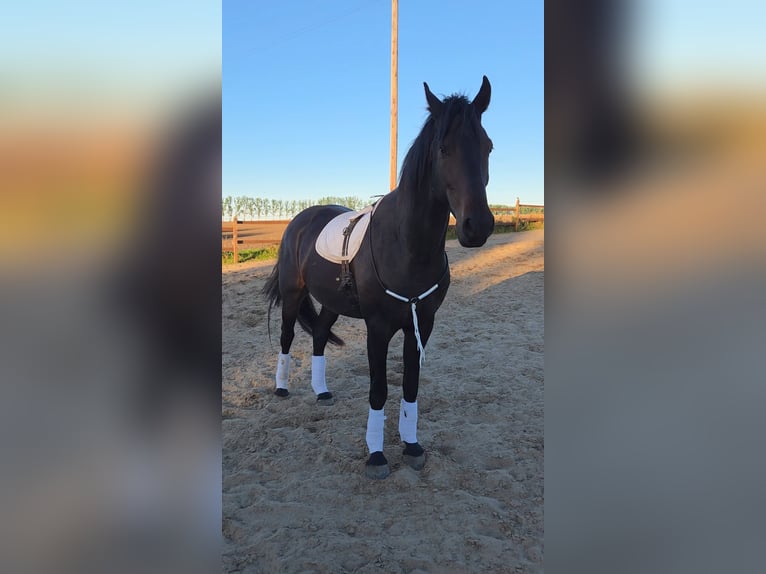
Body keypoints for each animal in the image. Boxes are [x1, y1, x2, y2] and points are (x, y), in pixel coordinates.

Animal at [263, 76, 495, 479]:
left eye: (488, 146)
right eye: (443, 148)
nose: (477, 226)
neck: (407, 246)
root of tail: (299, 220)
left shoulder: (422, 323)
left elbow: (411, 386)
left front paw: (412, 446)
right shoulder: (378, 327)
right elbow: (378, 389)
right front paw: (376, 455)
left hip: (332, 302)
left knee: (319, 335)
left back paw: (322, 391)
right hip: (293, 295)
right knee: (288, 336)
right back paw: (281, 388)